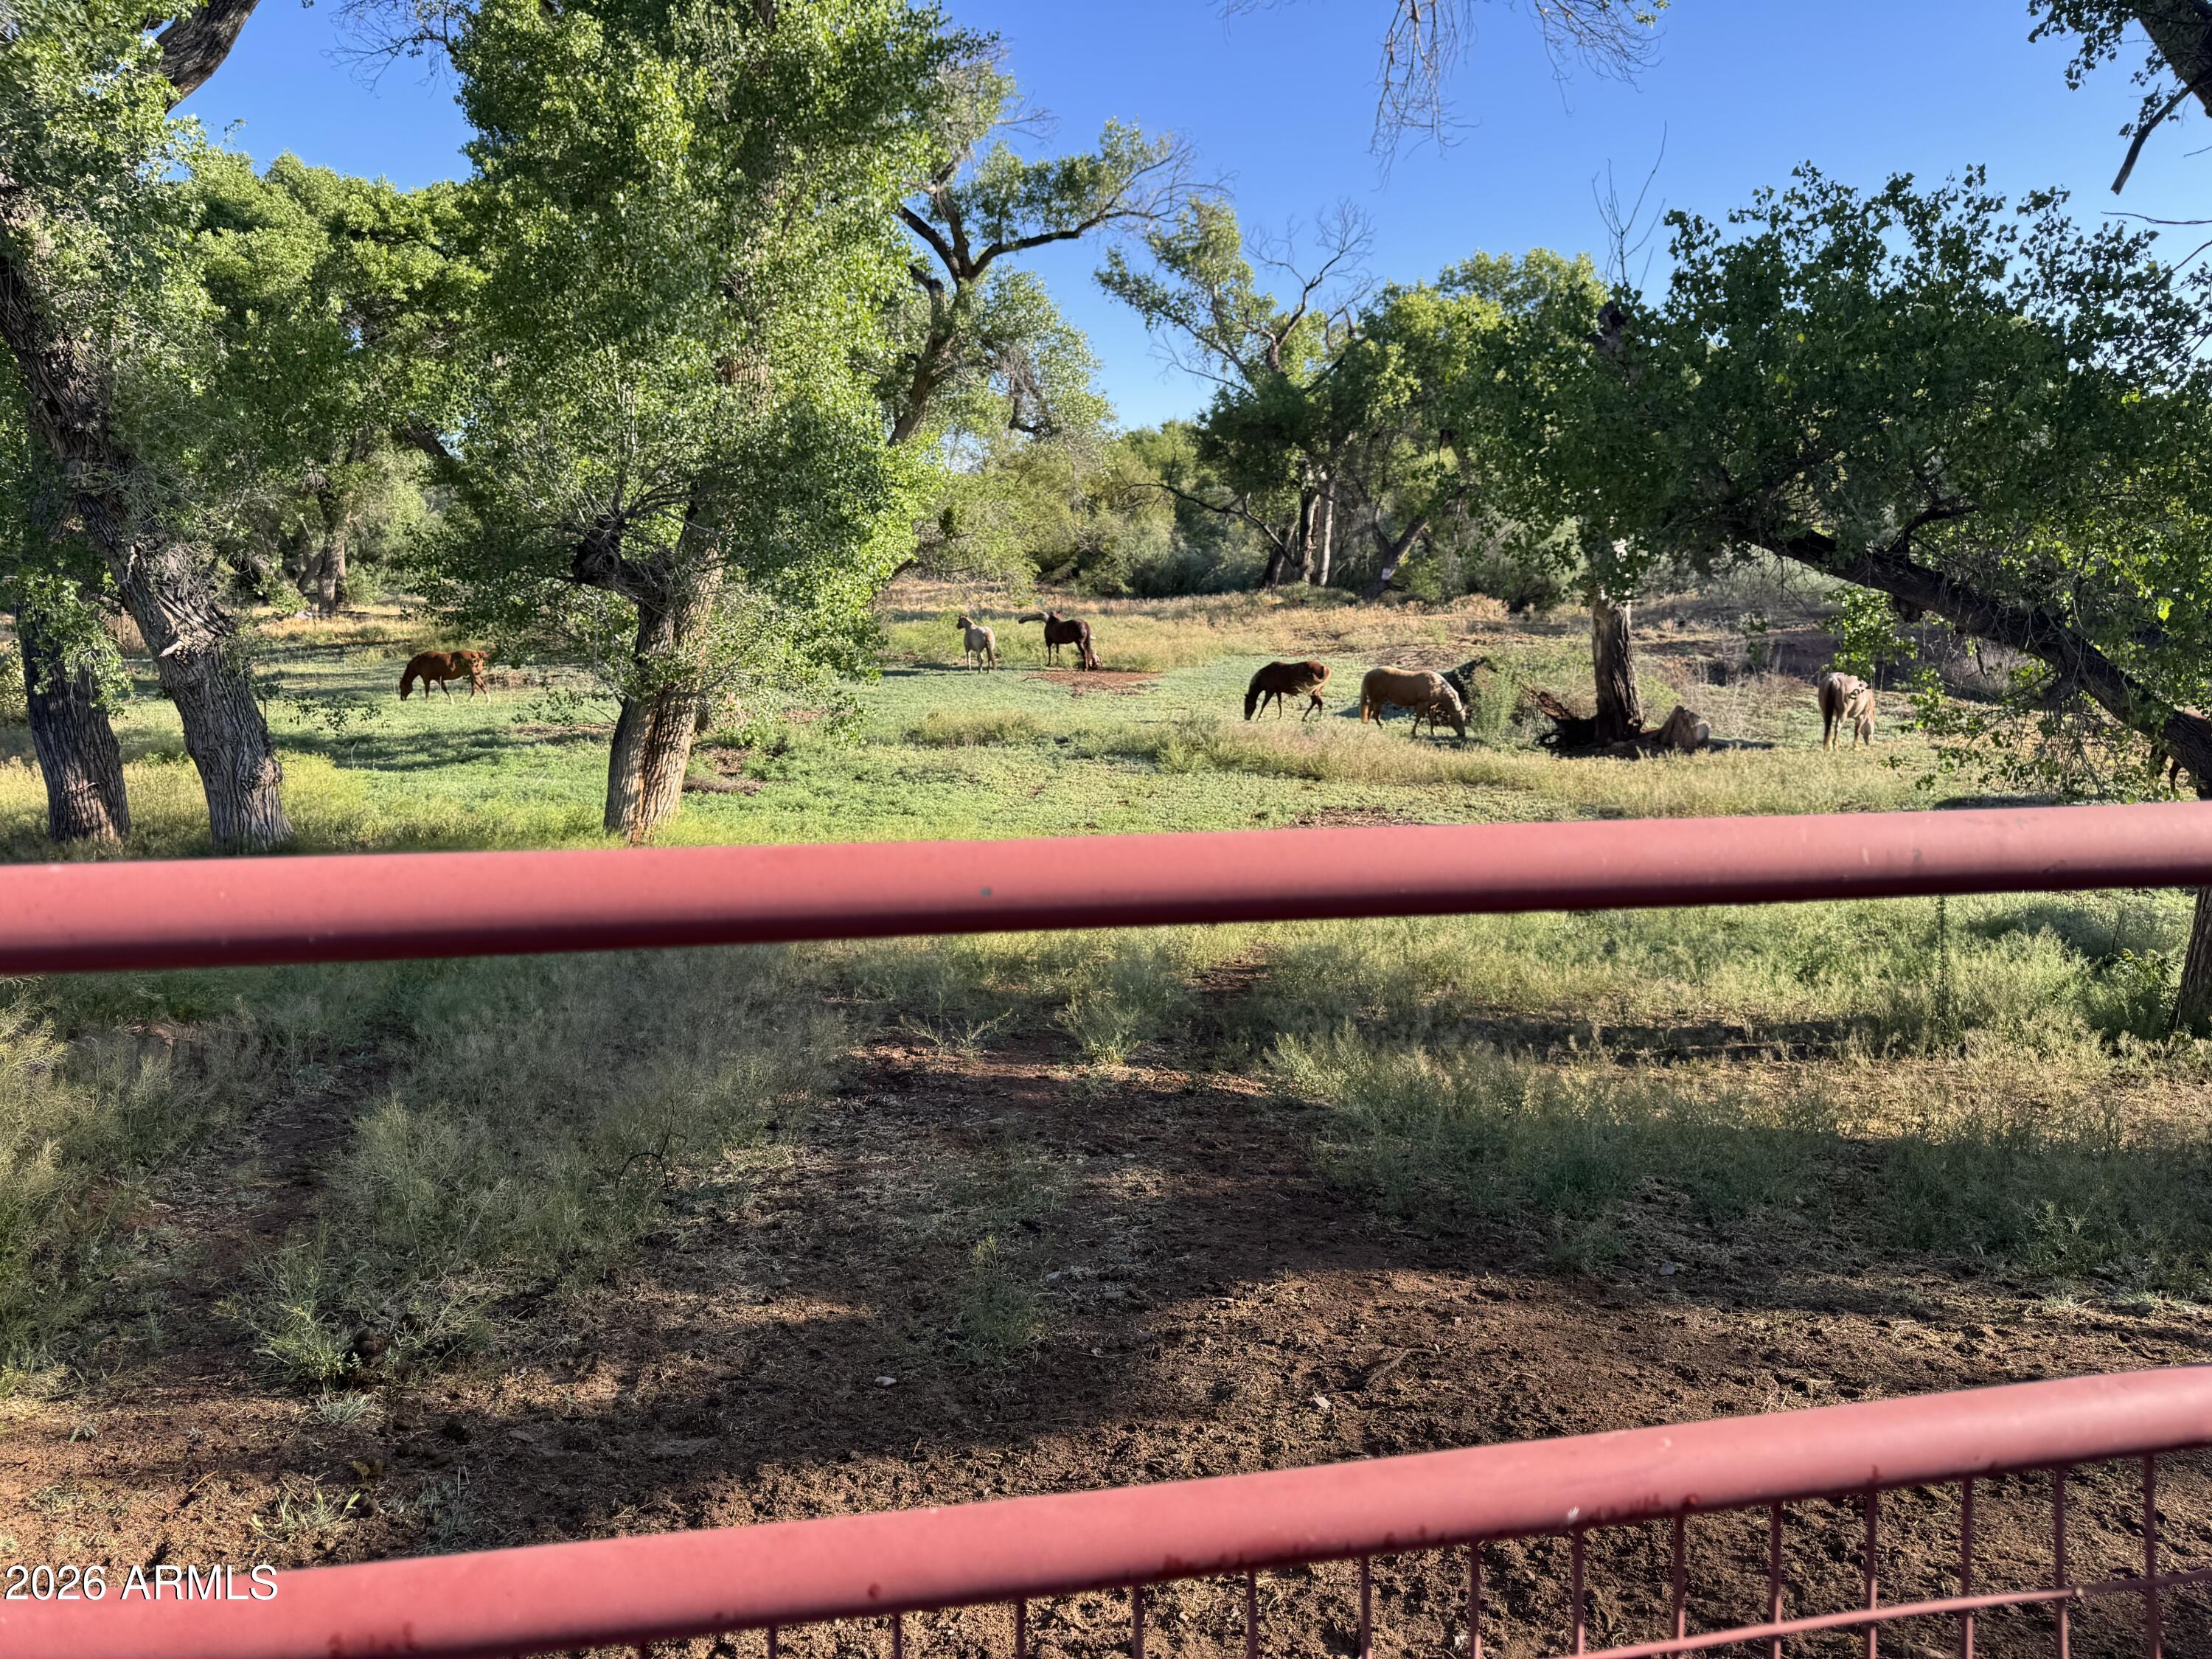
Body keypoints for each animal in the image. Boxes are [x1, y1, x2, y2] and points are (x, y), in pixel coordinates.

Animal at [1360, 666, 1466, 739]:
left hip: (1374, 700)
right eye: (1460, 720)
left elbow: (1432, 720)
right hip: (1378, 700)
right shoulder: (1422, 704)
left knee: (1369, 712)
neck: (1437, 686)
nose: (1463, 734)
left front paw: (1433, 733)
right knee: (1376, 714)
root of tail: (1369, 674)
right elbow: (1418, 719)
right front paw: (1413, 732)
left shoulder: (1432, 707)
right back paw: (1382, 727)